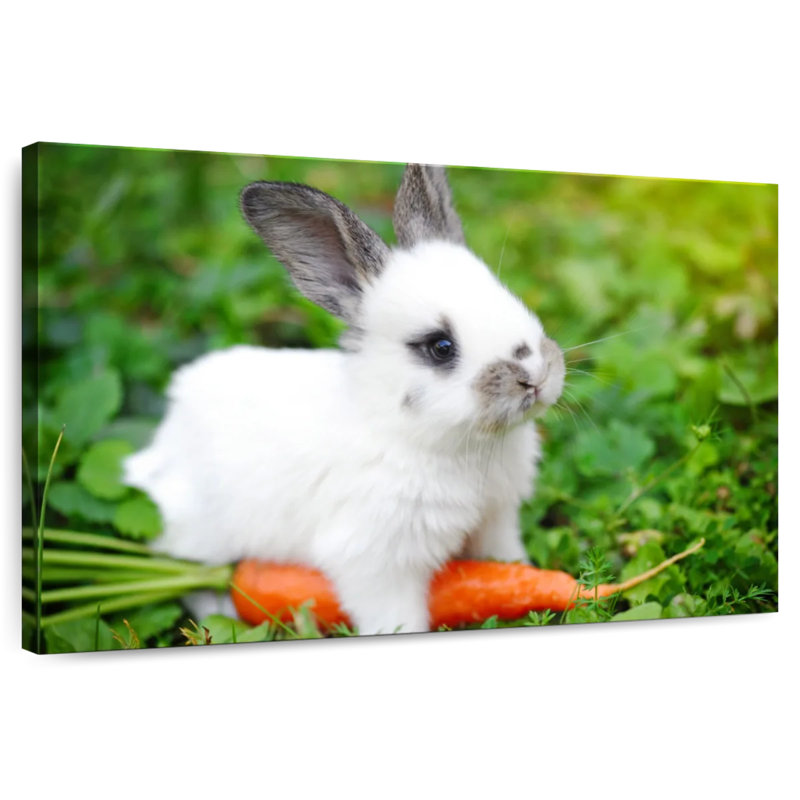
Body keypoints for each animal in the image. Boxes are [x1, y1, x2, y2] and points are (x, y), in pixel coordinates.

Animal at [124, 164, 565, 635]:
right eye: (440, 346)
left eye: (511, 299)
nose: (536, 376)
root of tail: (160, 446)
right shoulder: (377, 562)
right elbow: (395, 617)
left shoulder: (496, 520)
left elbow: (506, 564)